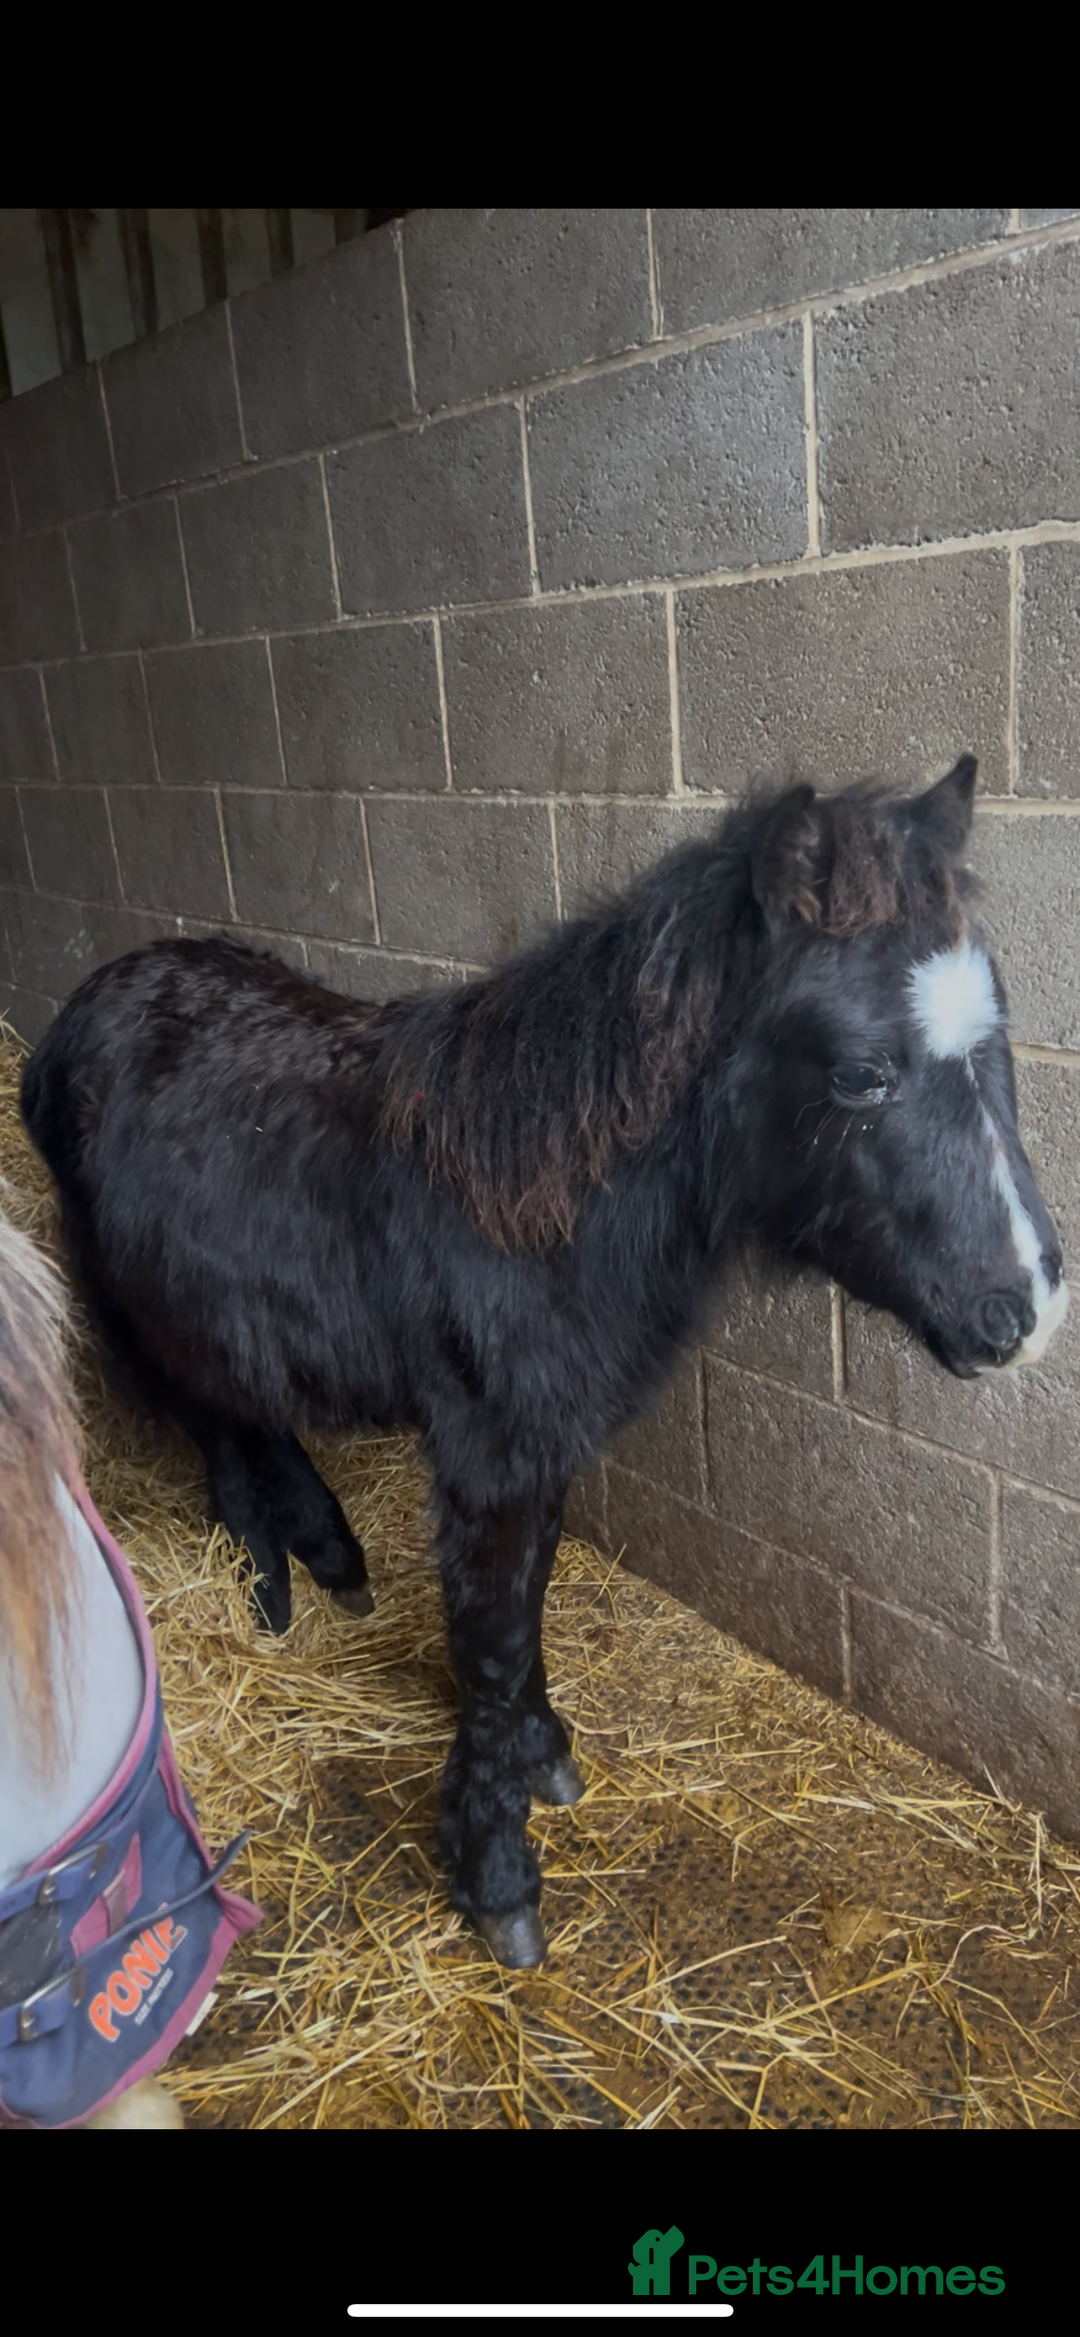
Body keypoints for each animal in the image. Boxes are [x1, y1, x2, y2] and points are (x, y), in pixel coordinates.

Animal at [19, 755, 1068, 1969]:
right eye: (860, 1076)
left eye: (1000, 1041)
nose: (1028, 1308)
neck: (526, 1200)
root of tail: (84, 1007)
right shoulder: (488, 1456)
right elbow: (488, 1633)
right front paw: (496, 1875)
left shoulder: (542, 1441)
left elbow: (527, 1607)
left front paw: (543, 1752)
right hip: (131, 1306)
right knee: (219, 1429)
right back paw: (271, 1585)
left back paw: (331, 1556)